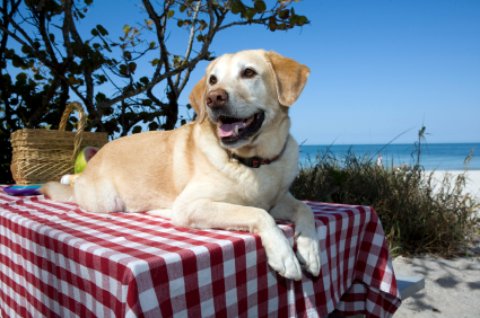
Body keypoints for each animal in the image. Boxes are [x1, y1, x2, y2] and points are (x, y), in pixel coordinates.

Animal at [42, 49, 318, 280]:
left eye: (249, 72)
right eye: (213, 80)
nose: (213, 98)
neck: (253, 161)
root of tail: (96, 158)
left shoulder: (279, 199)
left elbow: (306, 208)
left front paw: (310, 250)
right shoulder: (192, 205)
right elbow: (257, 213)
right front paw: (283, 254)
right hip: (106, 201)